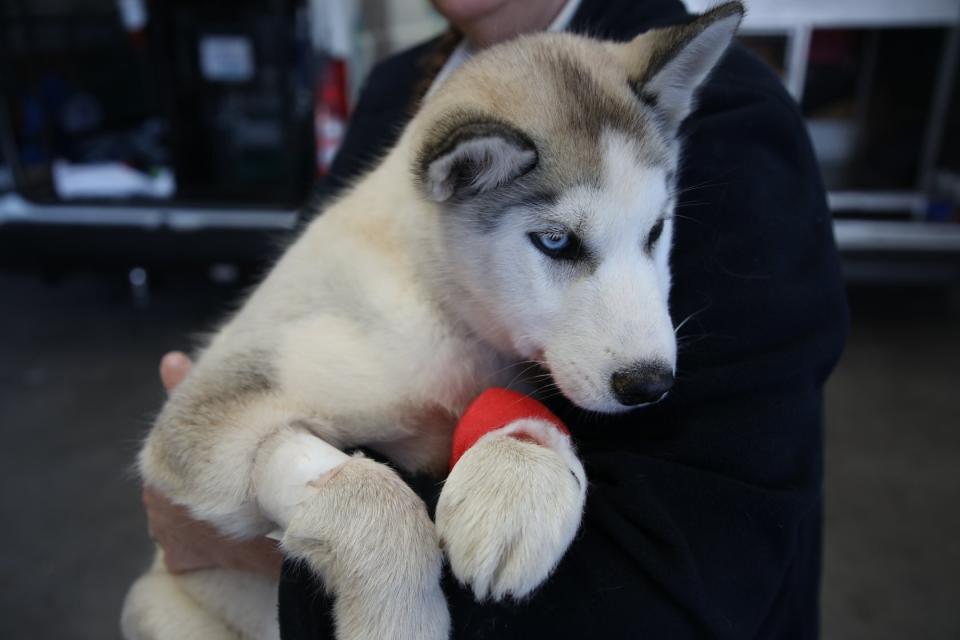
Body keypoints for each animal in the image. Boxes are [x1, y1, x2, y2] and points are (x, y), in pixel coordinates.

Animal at [120, 6, 748, 640]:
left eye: (656, 231)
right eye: (555, 241)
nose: (650, 384)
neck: (434, 303)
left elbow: (513, 411)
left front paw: (515, 486)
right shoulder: (209, 409)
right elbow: (369, 487)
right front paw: (399, 616)